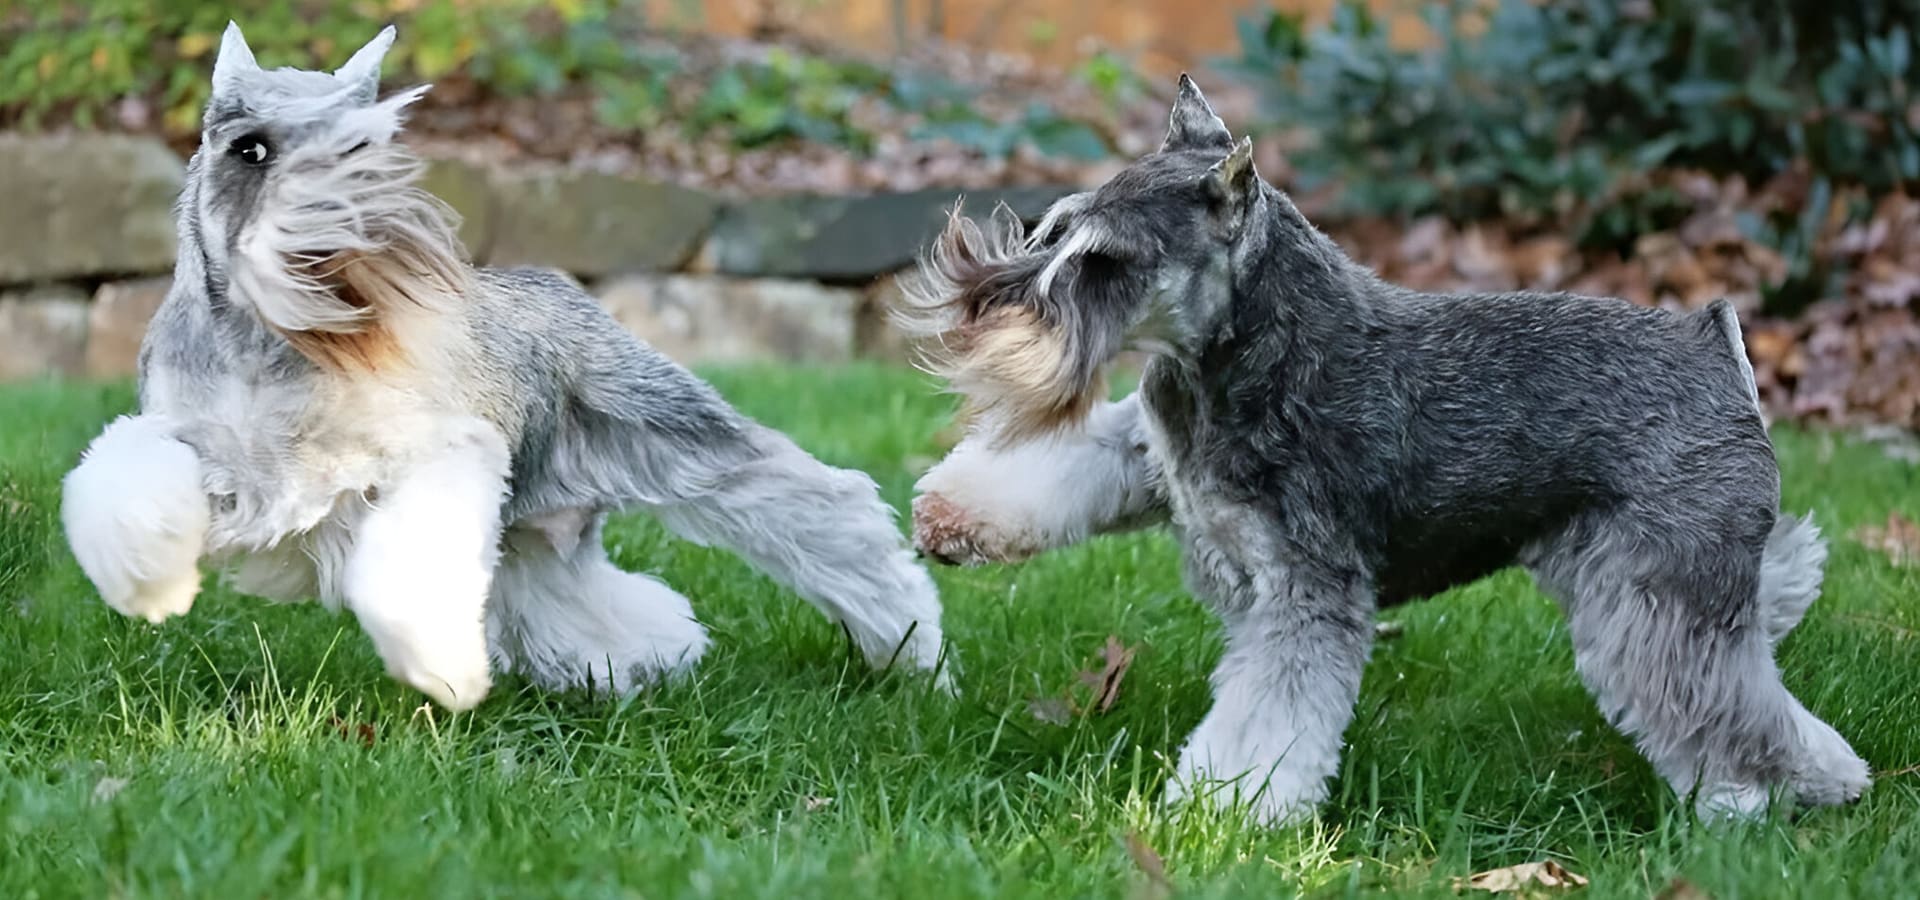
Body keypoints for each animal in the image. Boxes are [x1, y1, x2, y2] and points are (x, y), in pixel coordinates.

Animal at [63, 22, 948, 710]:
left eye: (366, 146)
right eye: (252, 150)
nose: (357, 234)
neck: (269, 344)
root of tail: (561, 284)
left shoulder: (430, 459)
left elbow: (410, 568)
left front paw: (440, 666)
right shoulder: (193, 441)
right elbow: (123, 474)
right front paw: (147, 581)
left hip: (681, 440)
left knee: (830, 511)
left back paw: (913, 653)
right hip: (532, 535)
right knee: (584, 601)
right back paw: (635, 664)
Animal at [902, 75, 1873, 821]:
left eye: (1104, 260)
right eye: (1053, 228)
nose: (976, 307)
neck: (1247, 349)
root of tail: (1713, 341)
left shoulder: (1308, 593)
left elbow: (1267, 718)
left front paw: (1219, 814)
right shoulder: (1148, 450)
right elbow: (1060, 462)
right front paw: (952, 514)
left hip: (1658, 599)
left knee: (1737, 709)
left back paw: (1804, 790)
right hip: (1615, 577)